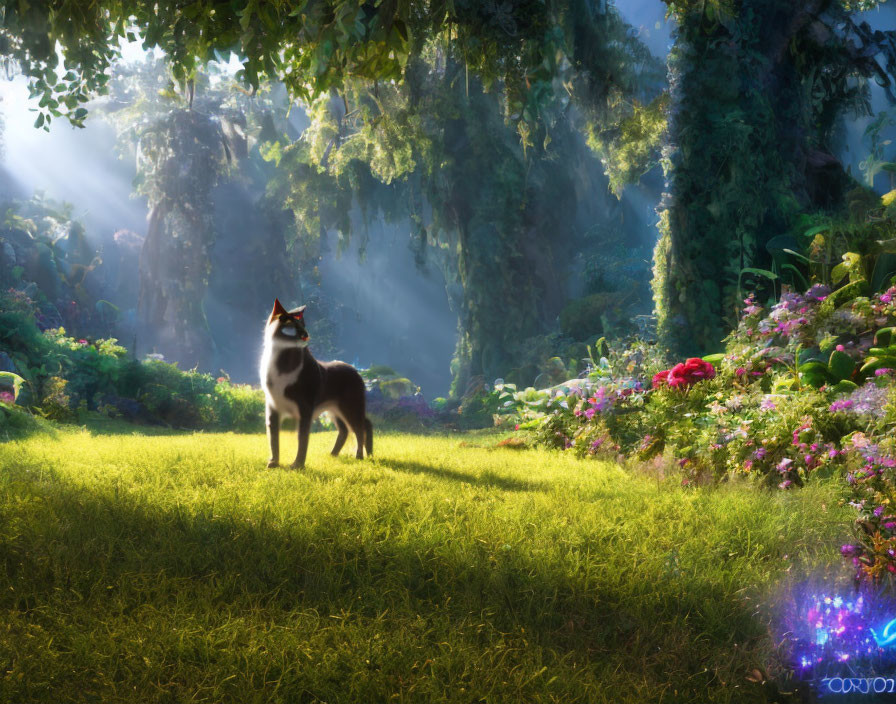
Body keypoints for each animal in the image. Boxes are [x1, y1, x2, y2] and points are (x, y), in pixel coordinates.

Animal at [260, 296, 372, 468]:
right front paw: (274, 463)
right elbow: (273, 438)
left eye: (304, 326)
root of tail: (355, 370)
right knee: (345, 430)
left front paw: (297, 465)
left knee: (361, 428)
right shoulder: (272, 407)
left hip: (350, 406)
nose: (306, 334)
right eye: (293, 326)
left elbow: (302, 438)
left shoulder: (305, 407)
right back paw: (333, 455)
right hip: (334, 409)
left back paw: (359, 456)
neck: (280, 359)